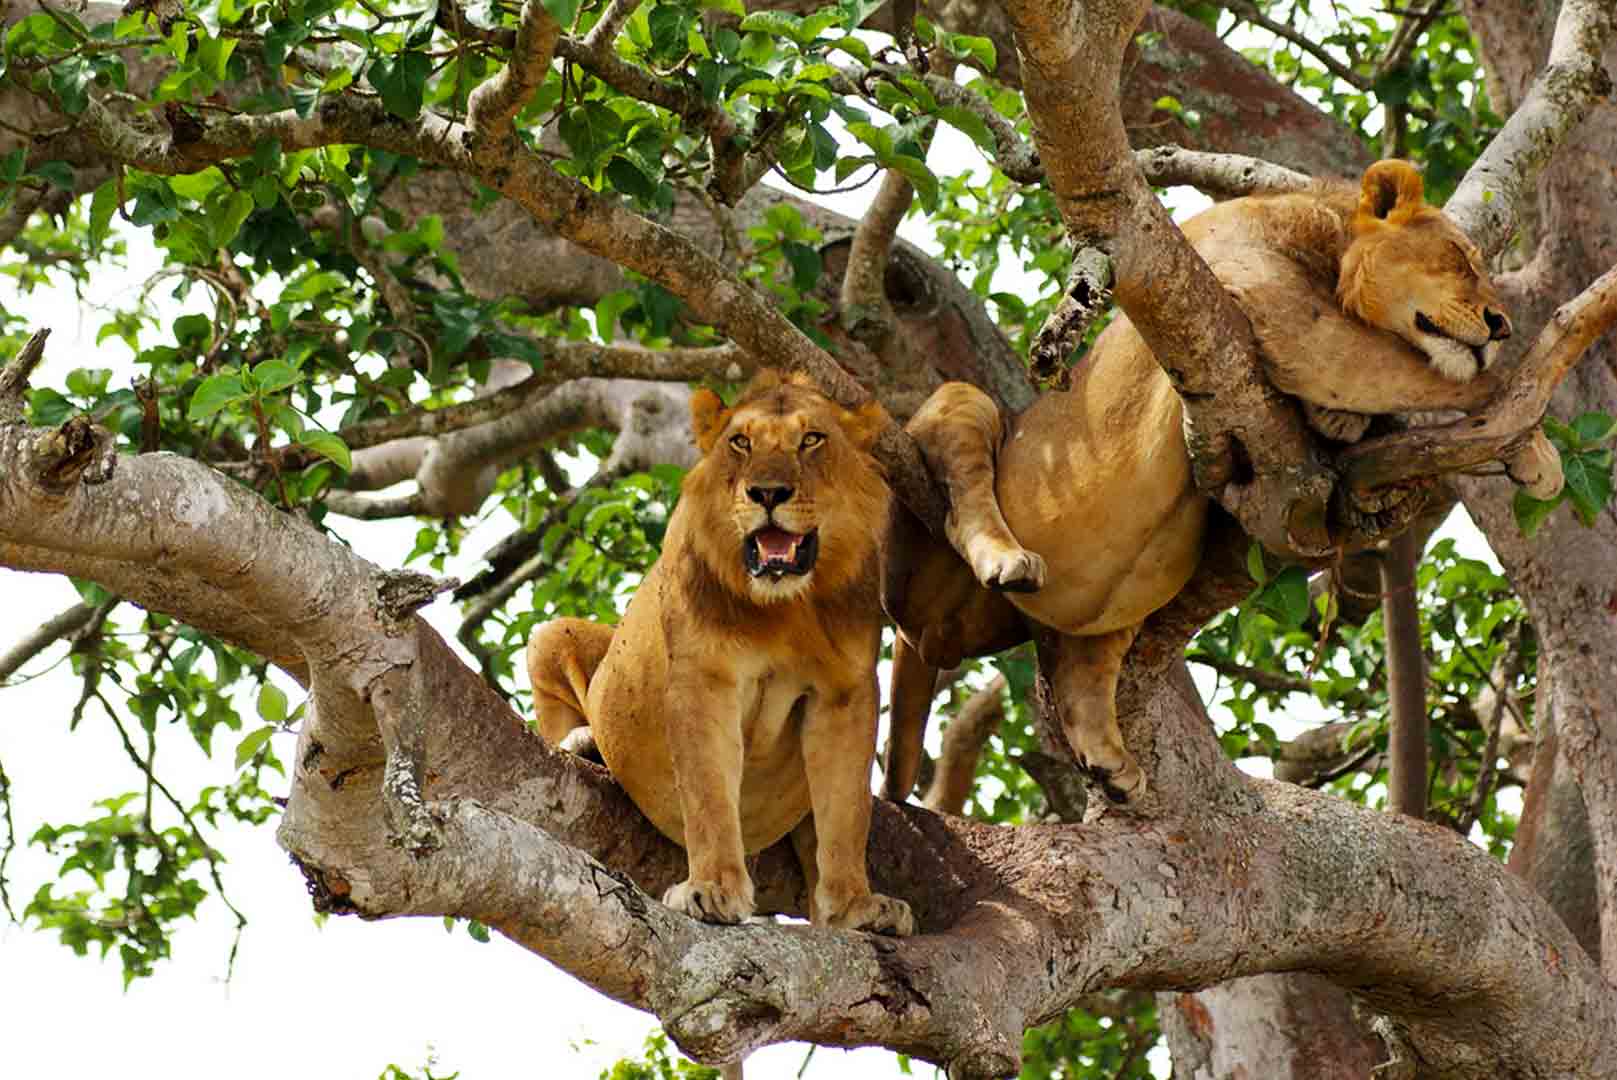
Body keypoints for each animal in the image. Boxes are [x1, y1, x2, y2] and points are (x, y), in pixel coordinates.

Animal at [527, 368, 911, 937]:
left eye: (811, 439)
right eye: (741, 442)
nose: (768, 491)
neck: (787, 608)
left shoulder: (846, 693)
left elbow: (845, 813)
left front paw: (856, 907)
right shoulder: (703, 679)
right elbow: (708, 793)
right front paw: (712, 890)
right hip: (551, 634)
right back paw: (582, 742)